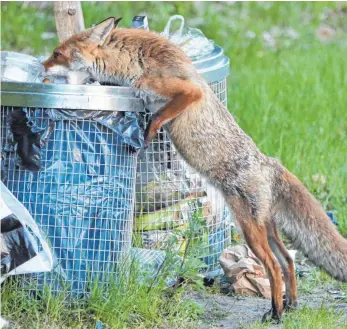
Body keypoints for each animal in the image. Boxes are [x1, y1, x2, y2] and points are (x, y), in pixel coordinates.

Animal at [43, 17, 347, 320]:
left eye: (56, 54)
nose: (41, 69)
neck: (135, 64)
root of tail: (268, 162)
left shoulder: (187, 91)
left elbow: (158, 116)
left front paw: (147, 135)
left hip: (249, 229)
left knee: (273, 265)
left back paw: (275, 312)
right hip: (266, 227)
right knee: (287, 260)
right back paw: (291, 303)